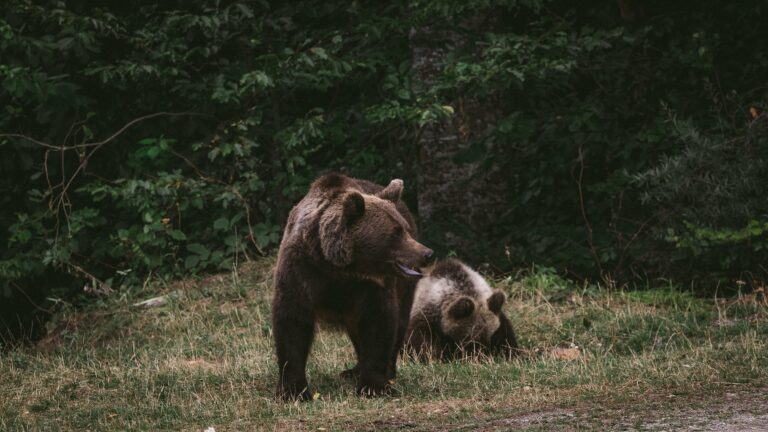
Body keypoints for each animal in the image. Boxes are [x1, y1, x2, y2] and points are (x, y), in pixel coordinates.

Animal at [272, 170, 436, 400]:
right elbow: (292, 322)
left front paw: (374, 385)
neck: (338, 268)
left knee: (399, 321)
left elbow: (377, 324)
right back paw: (353, 370)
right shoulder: (301, 271)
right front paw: (293, 390)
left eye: (404, 229)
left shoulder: (371, 286)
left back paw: (384, 371)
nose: (427, 253)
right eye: (395, 233)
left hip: (404, 288)